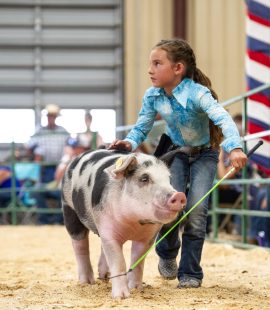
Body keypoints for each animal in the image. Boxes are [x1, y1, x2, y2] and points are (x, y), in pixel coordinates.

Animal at [61, 149, 186, 300]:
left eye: (169, 179)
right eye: (144, 178)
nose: (179, 195)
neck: (134, 223)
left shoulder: (147, 237)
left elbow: (138, 262)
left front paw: (137, 289)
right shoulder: (108, 229)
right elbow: (119, 262)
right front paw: (121, 297)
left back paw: (104, 276)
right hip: (69, 209)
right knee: (80, 246)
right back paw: (87, 282)